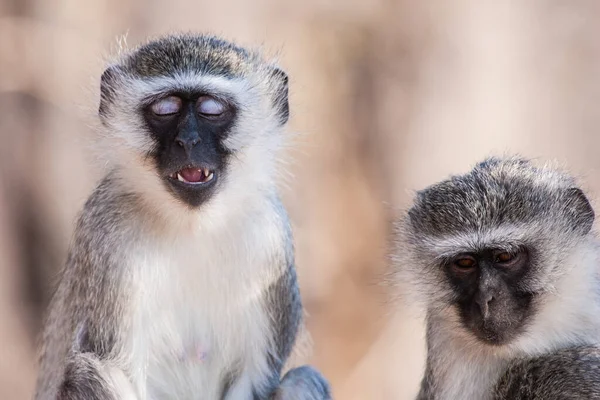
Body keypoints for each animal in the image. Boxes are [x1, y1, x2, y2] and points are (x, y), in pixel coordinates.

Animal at [34, 32, 330, 398]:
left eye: (211, 110)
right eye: (165, 110)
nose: (187, 141)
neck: (194, 226)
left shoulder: (269, 239)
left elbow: (255, 376)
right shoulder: (107, 239)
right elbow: (117, 369)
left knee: (302, 379)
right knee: (89, 372)